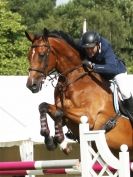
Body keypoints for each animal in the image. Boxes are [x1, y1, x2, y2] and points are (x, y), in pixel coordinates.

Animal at [25, 28, 133, 157]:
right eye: (28, 56)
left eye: (41, 55)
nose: (31, 85)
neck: (73, 79)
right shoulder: (61, 112)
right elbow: (44, 107)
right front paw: (52, 142)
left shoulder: (88, 117)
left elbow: (59, 112)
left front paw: (61, 141)